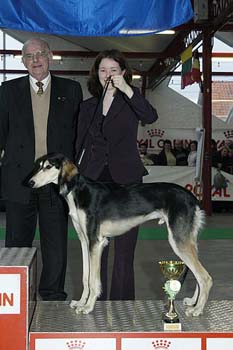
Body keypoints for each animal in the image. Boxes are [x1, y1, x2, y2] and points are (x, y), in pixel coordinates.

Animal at [27, 153, 213, 314]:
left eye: (48, 166)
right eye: (39, 165)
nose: (30, 183)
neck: (78, 190)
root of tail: (193, 197)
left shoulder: (96, 242)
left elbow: (93, 281)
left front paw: (88, 307)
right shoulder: (85, 242)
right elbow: (85, 277)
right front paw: (80, 303)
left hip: (178, 242)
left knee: (205, 278)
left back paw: (197, 310)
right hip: (187, 242)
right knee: (198, 275)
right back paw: (193, 302)